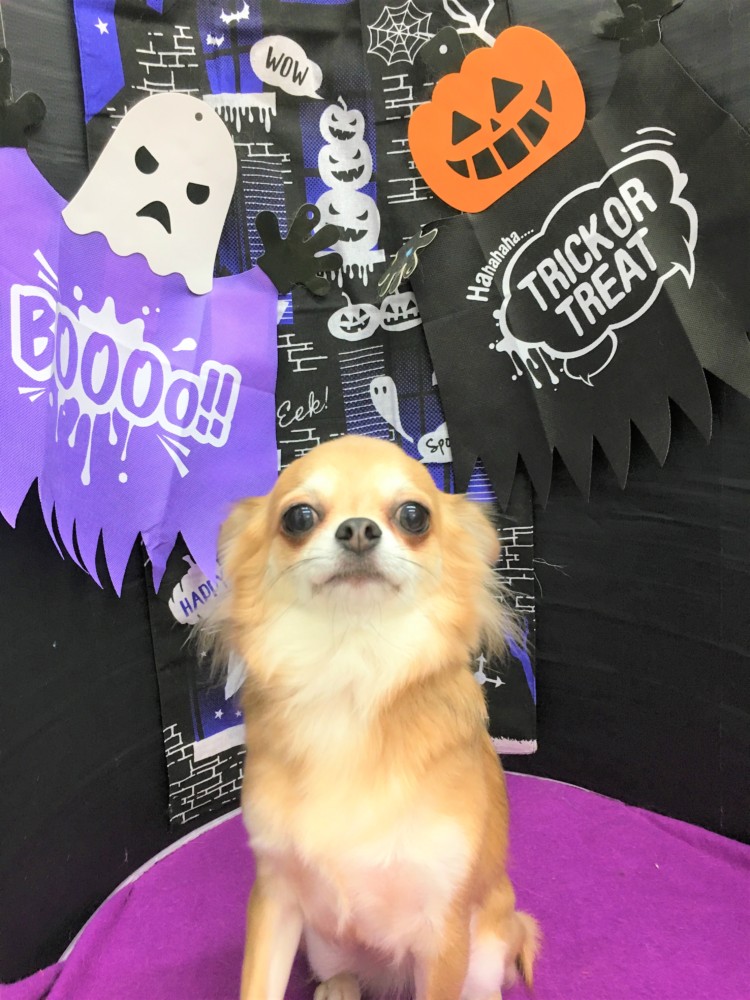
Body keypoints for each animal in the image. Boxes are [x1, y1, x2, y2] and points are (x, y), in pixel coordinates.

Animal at [202, 435, 538, 1000]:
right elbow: (257, 987)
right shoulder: (275, 895)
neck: (352, 674)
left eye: (413, 515)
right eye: (298, 517)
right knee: (343, 972)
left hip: (486, 946)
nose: (358, 528)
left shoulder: (443, 929)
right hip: (322, 941)